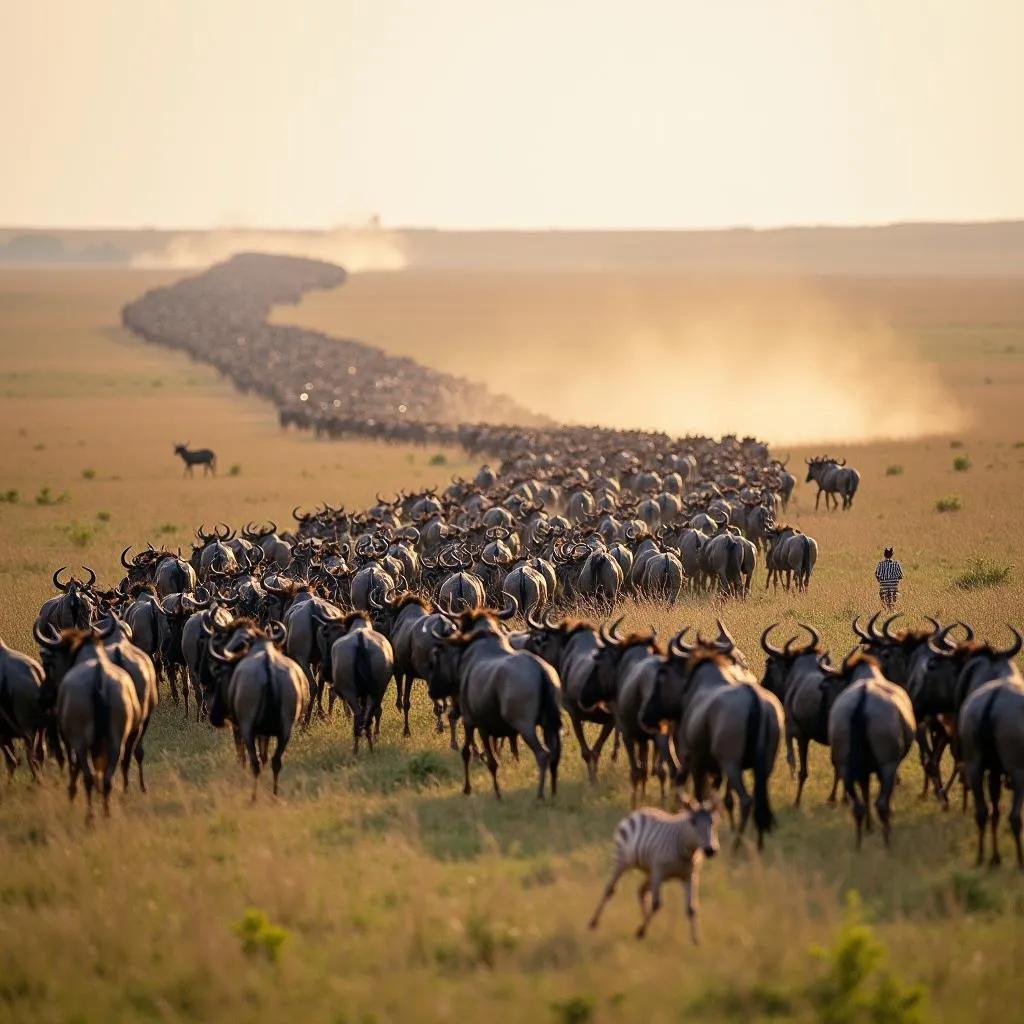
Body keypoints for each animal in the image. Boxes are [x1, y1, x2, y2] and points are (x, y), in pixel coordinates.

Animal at [589, 798, 724, 942]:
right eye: (693, 822)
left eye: (714, 821)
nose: (711, 850)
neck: (685, 852)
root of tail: (640, 811)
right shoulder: (659, 871)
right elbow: (656, 904)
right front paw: (641, 932)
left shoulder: (690, 876)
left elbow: (692, 908)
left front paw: (696, 940)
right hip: (621, 859)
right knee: (610, 888)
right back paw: (593, 922)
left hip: (650, 871)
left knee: (641, 891)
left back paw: (647, 924)